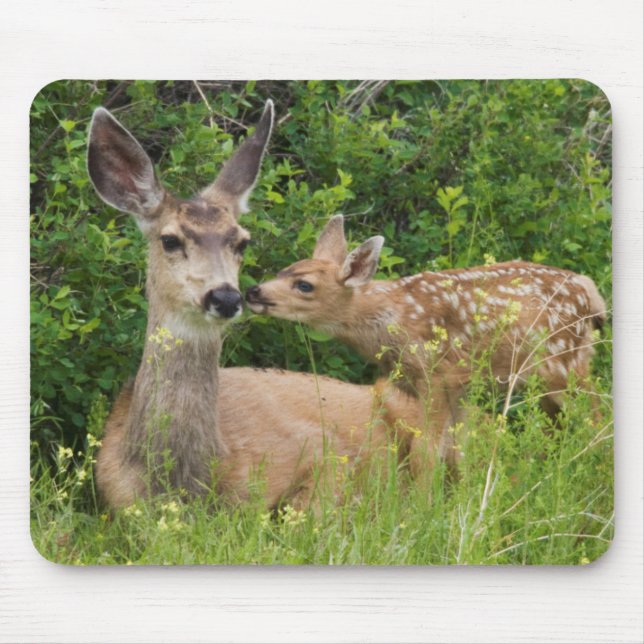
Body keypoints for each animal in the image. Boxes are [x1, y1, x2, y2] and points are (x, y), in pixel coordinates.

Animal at [246, 214, 607, 461]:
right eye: (283, 270)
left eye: (304, 285)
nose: (253, 291)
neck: (392, 319)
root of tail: (591, 292)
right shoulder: (456, 385)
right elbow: (456, 448)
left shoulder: (437, 373)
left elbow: (427, 449)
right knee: (560, 427)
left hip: (564, 364)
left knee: (596, 420)